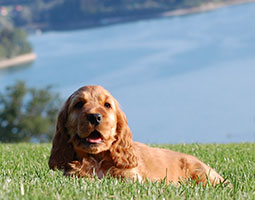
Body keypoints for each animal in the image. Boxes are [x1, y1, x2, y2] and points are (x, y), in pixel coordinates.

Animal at [48, 85, 224, 185]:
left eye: (107, 105)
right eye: (79, 104)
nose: (95, 117)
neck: (97, 158)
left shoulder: (131, 177)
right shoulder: (73, 175)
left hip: (202, 173)